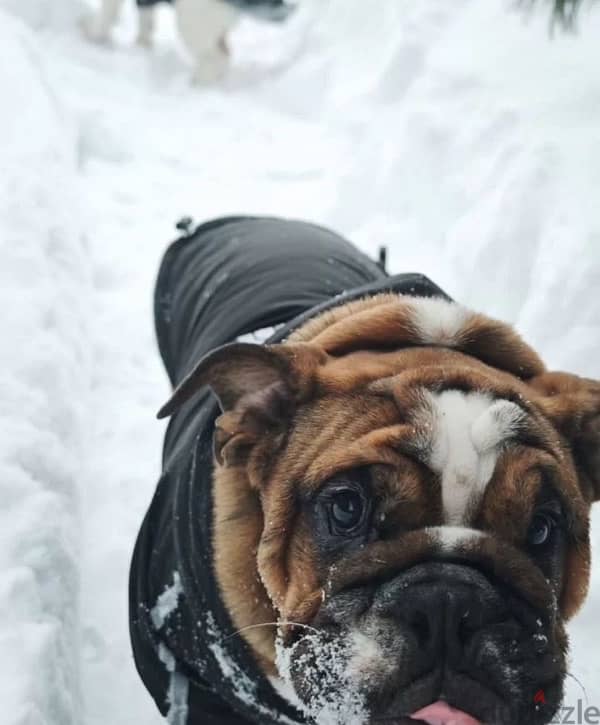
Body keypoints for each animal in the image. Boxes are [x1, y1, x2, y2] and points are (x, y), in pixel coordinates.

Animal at [79, 0, 296, 83]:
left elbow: (108, 13)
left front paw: (91, 35)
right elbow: (146, 20)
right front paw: (142, 46)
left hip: (192, 17)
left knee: (217, 57)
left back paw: (194, 86)